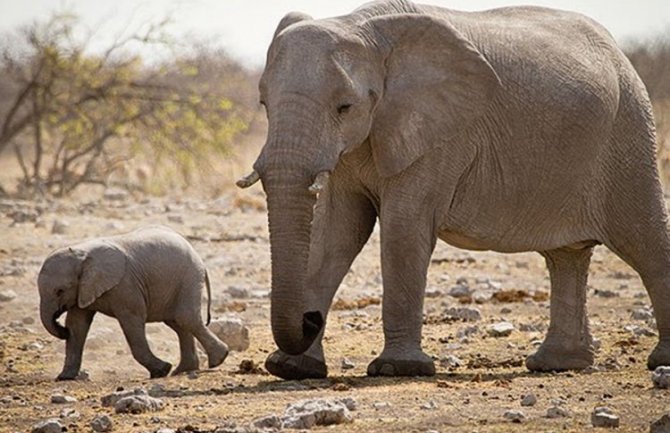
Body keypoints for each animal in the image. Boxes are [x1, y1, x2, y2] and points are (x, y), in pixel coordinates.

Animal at [38, 224, 230, 380]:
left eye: (60, 291)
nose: (61, 328)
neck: (82, 254)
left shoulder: (125, 285)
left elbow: (132, 321)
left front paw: (161, 371)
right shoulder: (83, 289)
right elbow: (77, 325)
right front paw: (64, 377)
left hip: (188, 277)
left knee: (185, 318)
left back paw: (217, 360)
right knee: (177, 323)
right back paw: (183, 370)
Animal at [239, 0, 668, 378]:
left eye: (345, 107)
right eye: (263, 103)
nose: (310, 318)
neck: (362, 27)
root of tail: (619, 52)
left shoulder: (440, 136)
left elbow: (403, 228)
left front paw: (398, 369)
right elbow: (336, 232)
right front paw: (291, 369)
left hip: (629, 132)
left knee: (644, 240)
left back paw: (658, 361)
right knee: (566, 256)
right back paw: (557, 365)